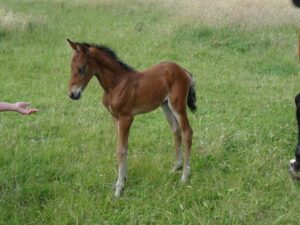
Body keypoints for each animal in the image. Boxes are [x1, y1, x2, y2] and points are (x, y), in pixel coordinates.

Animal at [66, 40, 196, 197]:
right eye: (71, 67)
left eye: (81, 69)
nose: (72, 94)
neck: (115, 84)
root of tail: (184, 71)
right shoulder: (115, 118)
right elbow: (124, 147)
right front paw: (123, 180)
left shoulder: (126, 118)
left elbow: (120, 150)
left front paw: (119, 188)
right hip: (166, 106)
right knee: (176, 131)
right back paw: (176, 167)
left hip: (178, 106)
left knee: (187, 132)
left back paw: (184, 176)